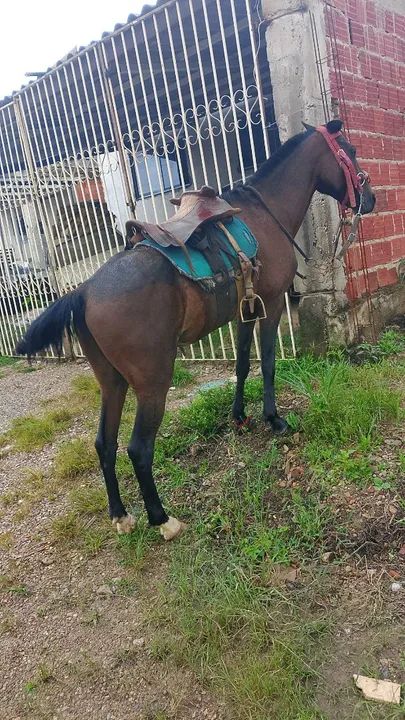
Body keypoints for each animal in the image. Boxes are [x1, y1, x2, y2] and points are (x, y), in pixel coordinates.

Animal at [16, 119, 375, 541]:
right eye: (351, 151)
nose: (370, 199)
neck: (266, 212)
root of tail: (84, 291)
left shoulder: (244, 311)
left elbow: (242, 364)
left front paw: (239, 416)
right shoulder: (270, 306)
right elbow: (269, 363)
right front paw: (273, 418)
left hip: (111, 381)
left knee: (104, 443)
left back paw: (120, 515)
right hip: (153, 382)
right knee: (138, 448)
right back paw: (162, 519)